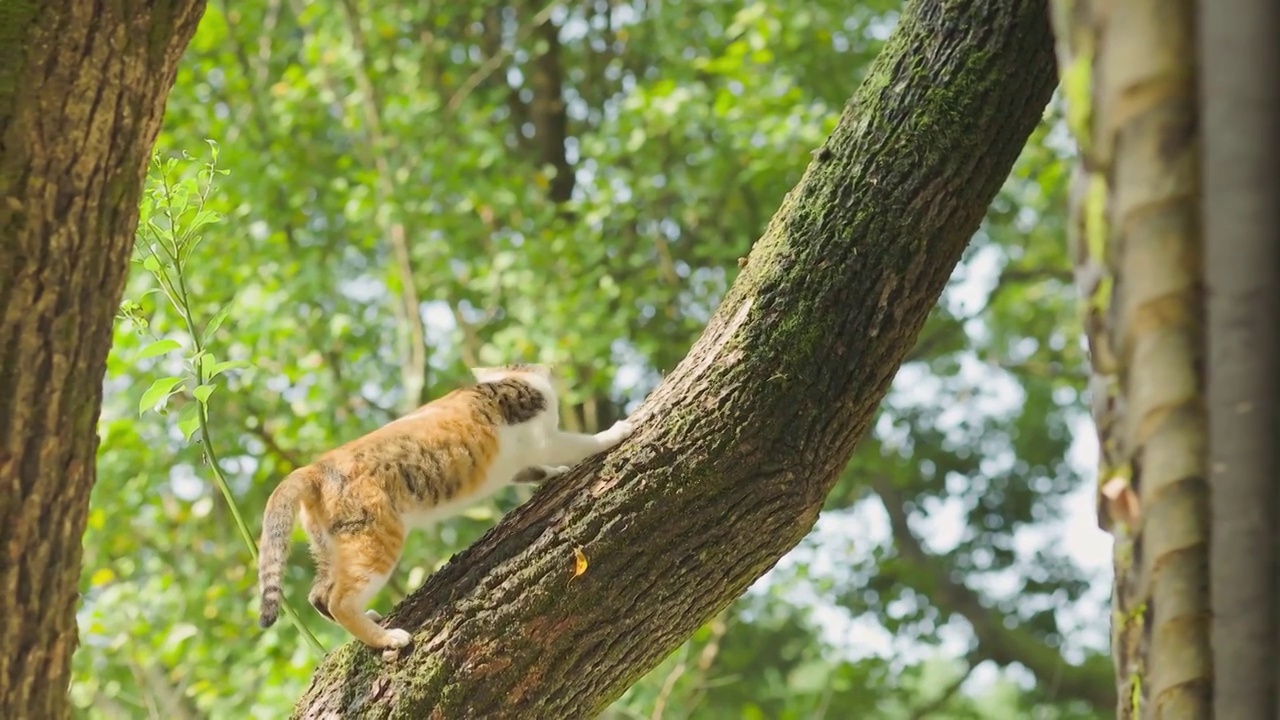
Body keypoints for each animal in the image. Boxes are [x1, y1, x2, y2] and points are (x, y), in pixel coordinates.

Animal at [252, 361, 632, 648]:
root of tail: (314, 468)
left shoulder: (520, 461)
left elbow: (533, 468)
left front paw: (554, 473)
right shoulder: (544, 437)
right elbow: (577, 443)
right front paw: (617, 431)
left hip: (330, 545)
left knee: (319, 594)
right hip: (374, 538)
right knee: (340, 600)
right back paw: (388, 639)